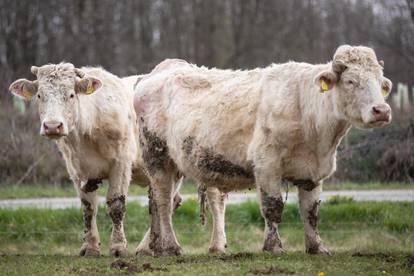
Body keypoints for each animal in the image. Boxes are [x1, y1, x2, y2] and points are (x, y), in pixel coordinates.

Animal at [8, 63, 183, 258]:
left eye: (71, 94)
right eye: (39, 95)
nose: (52, 126)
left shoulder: (121, 165)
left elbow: (116, 204)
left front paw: (118, 247)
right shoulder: (76, 170)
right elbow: (88, 207)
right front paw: (90, 247)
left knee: (163, 201)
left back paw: (148, 247)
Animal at [134, 44, 392, 254]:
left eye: (381, 83)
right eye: (350, 81)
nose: (382, 110)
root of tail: (158, 72)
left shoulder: (313, 172)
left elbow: (310, 211)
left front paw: (317, 247)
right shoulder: (267, 164)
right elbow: (273, 206)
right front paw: (273, 246)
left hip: (175, 163)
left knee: (159, 202)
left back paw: (153, 248)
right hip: (156, 155)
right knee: (163, 201)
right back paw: (171, 247)